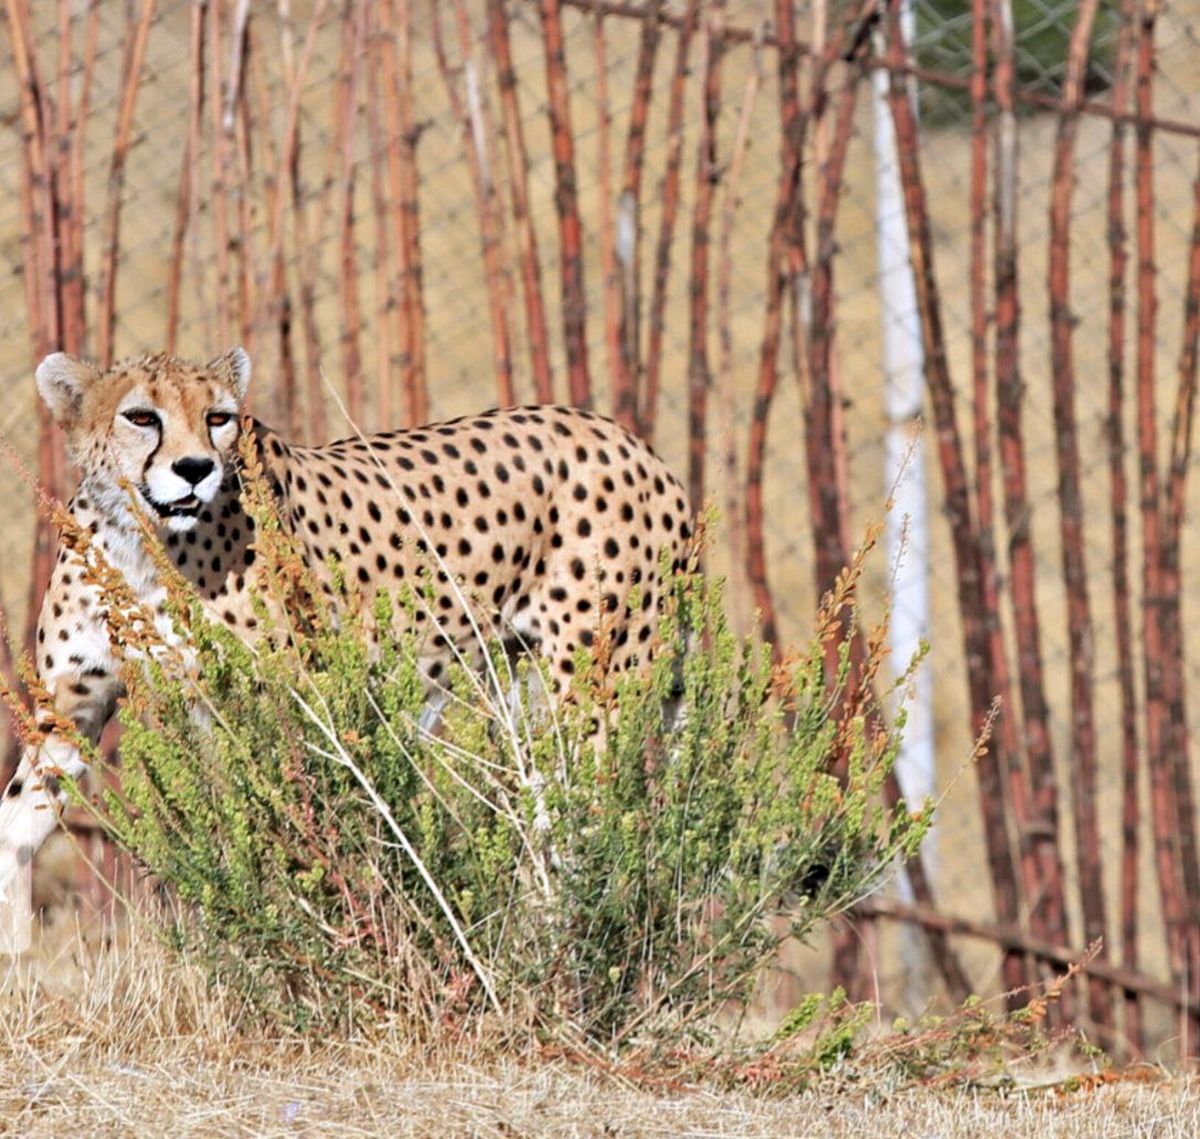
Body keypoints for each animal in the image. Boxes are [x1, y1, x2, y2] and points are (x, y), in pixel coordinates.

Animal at [0, 345, 691, 888]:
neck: (141, 546)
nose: (195, 468)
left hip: (595, 687)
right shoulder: (71, 705)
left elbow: (288, 833)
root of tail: (635, 443)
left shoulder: (279, 704)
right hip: (524, 691)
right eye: (142, 416)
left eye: (218, 418)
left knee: (594, 824)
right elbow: (15, 822)